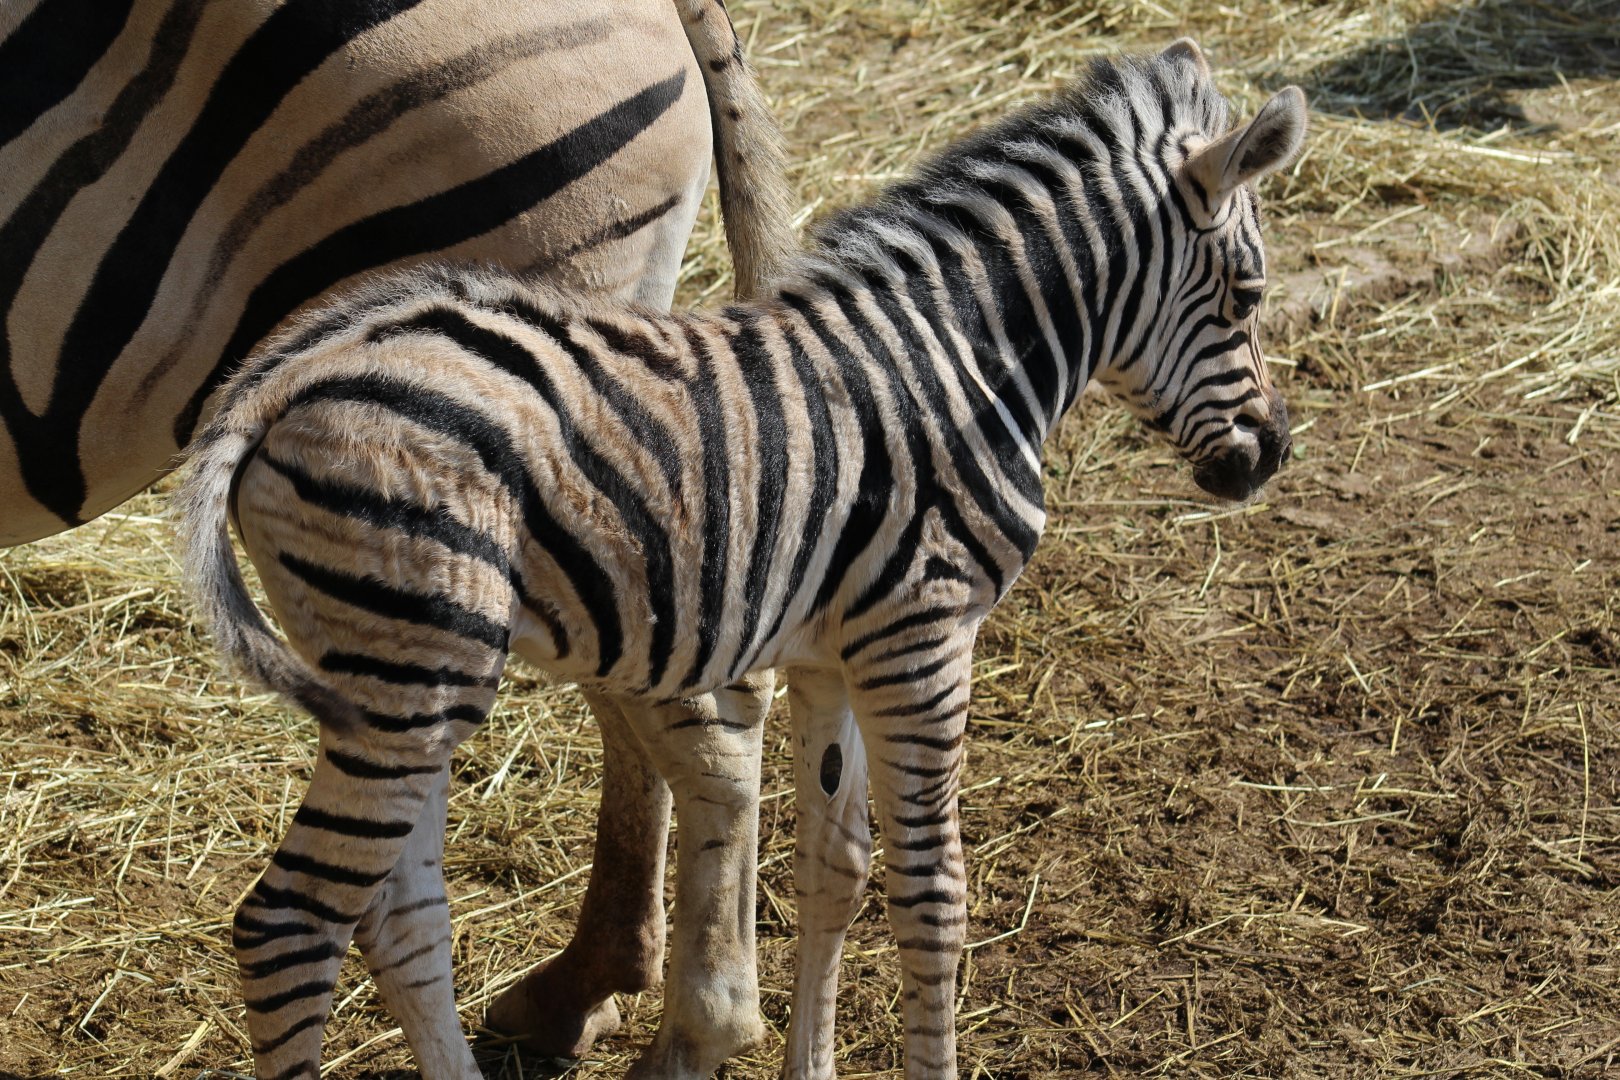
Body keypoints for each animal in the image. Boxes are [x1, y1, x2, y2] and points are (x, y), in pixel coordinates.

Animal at [180, 38, 1306, 1080]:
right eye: (1248, 295)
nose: (1270, 456)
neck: (962, 362)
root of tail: (287, 376)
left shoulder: (829, 657)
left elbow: (833, 869)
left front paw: (813, 1062)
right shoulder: (923, 639)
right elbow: (931, 894)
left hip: (390, 680)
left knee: (397, 914)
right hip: (413, 665)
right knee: (291, 922)